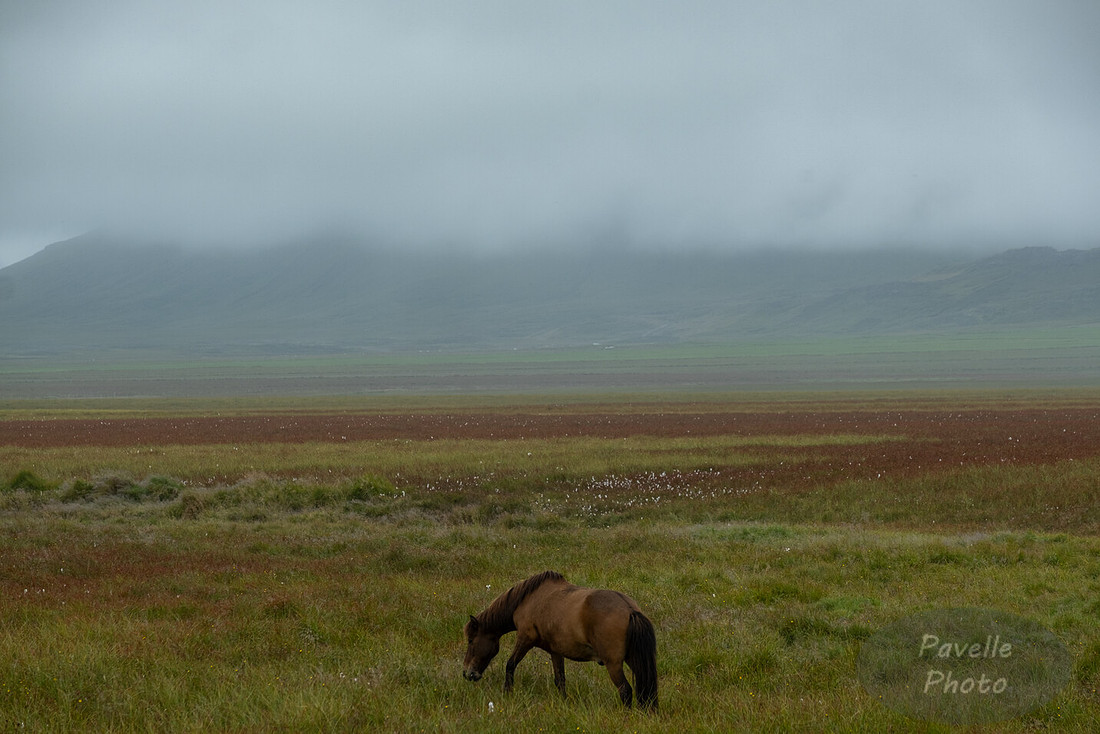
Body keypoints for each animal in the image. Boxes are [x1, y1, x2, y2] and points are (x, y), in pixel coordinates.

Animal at [462, 570, 658, 710]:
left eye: (471, 640)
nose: (467, 673)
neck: (528, 599)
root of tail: (630, 609)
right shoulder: (556, 651)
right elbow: (560, 680)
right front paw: (564, 703)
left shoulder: (525, 638)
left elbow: (510, 665)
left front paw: (507, 692)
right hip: (634, 660)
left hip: (614, 664)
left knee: (625, 690)